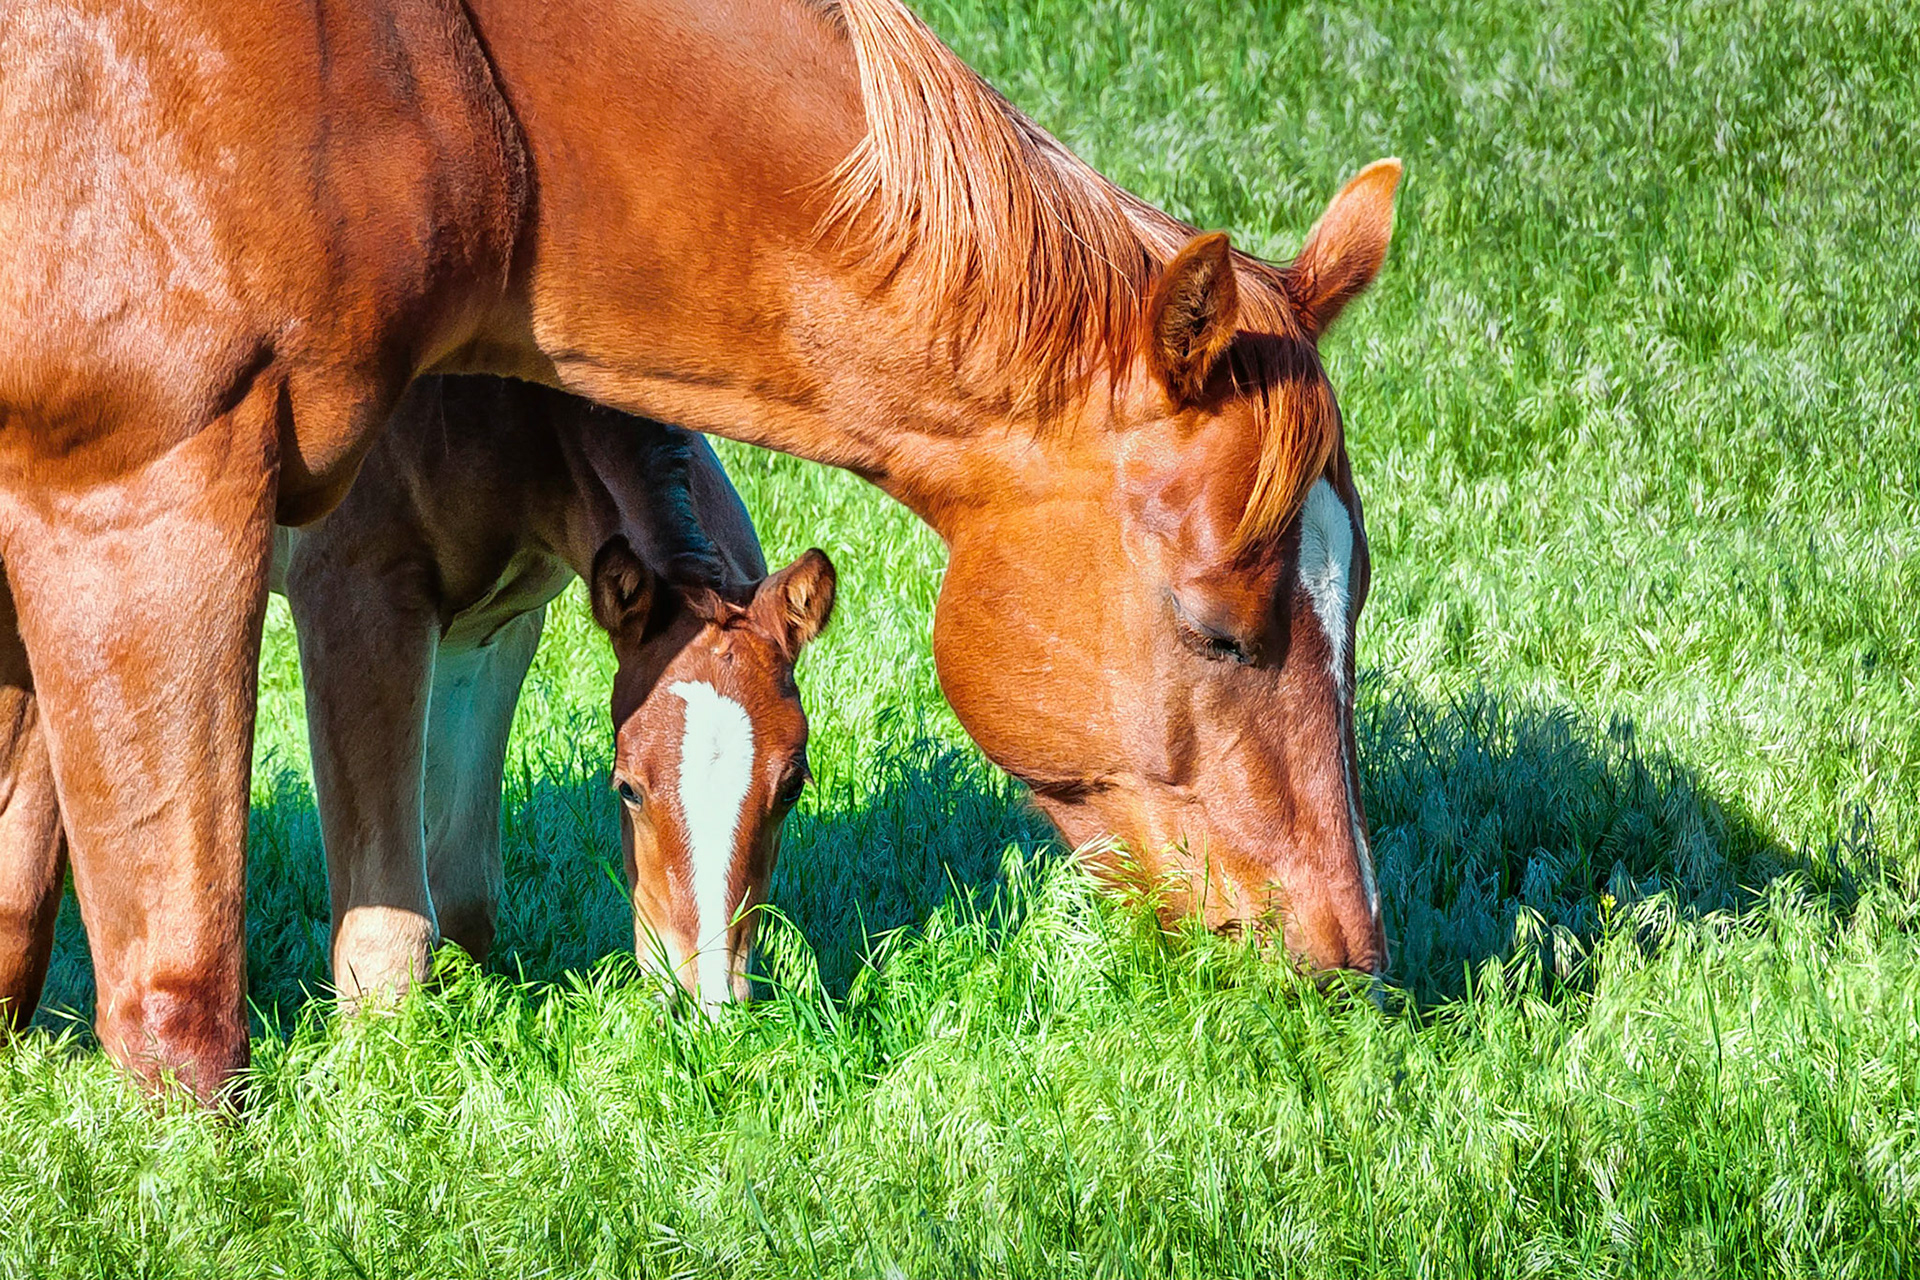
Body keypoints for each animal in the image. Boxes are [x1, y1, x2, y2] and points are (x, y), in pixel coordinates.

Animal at [0, 376, 835, 1022]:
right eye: (626, 788)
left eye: (792, 788)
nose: (708, 1004)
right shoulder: (356, 600)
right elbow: (387, 927)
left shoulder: (494, 630)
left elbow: (463, 888)